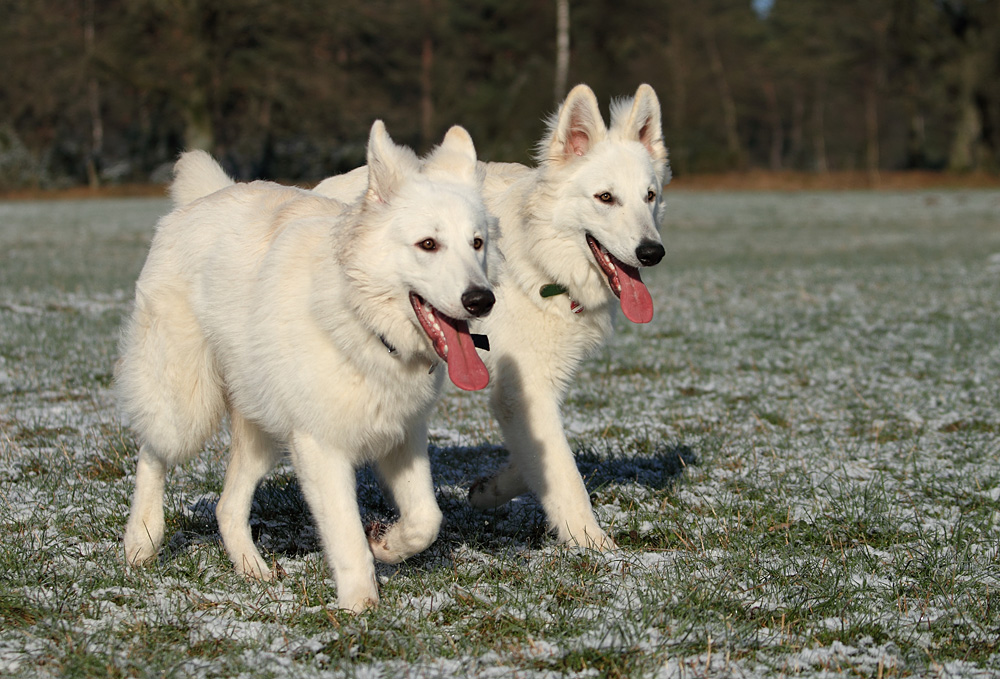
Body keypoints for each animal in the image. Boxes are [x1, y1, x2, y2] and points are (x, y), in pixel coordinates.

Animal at [118, 121, 495, 612]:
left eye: (477, 243)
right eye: (428, 244)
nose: (482, 300)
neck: (362, 323)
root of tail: (205, 198)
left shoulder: (401, 436)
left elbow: (426, 520)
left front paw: (386, 545)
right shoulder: (322, 448)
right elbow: (347, 537)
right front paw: (359, 607)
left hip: (263, 431)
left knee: (227, 505)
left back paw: (252, 569)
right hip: (187, 406)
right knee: (152, 451)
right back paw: (142, 540)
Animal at [315, 84, 669, 551]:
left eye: (650, 196)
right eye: (606, 198)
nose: (652, 252)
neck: (539, 260)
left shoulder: (527, 394)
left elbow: (544, 458)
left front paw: (488, 490)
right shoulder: (525, 388)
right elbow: (567, 473)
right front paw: (595, 545)